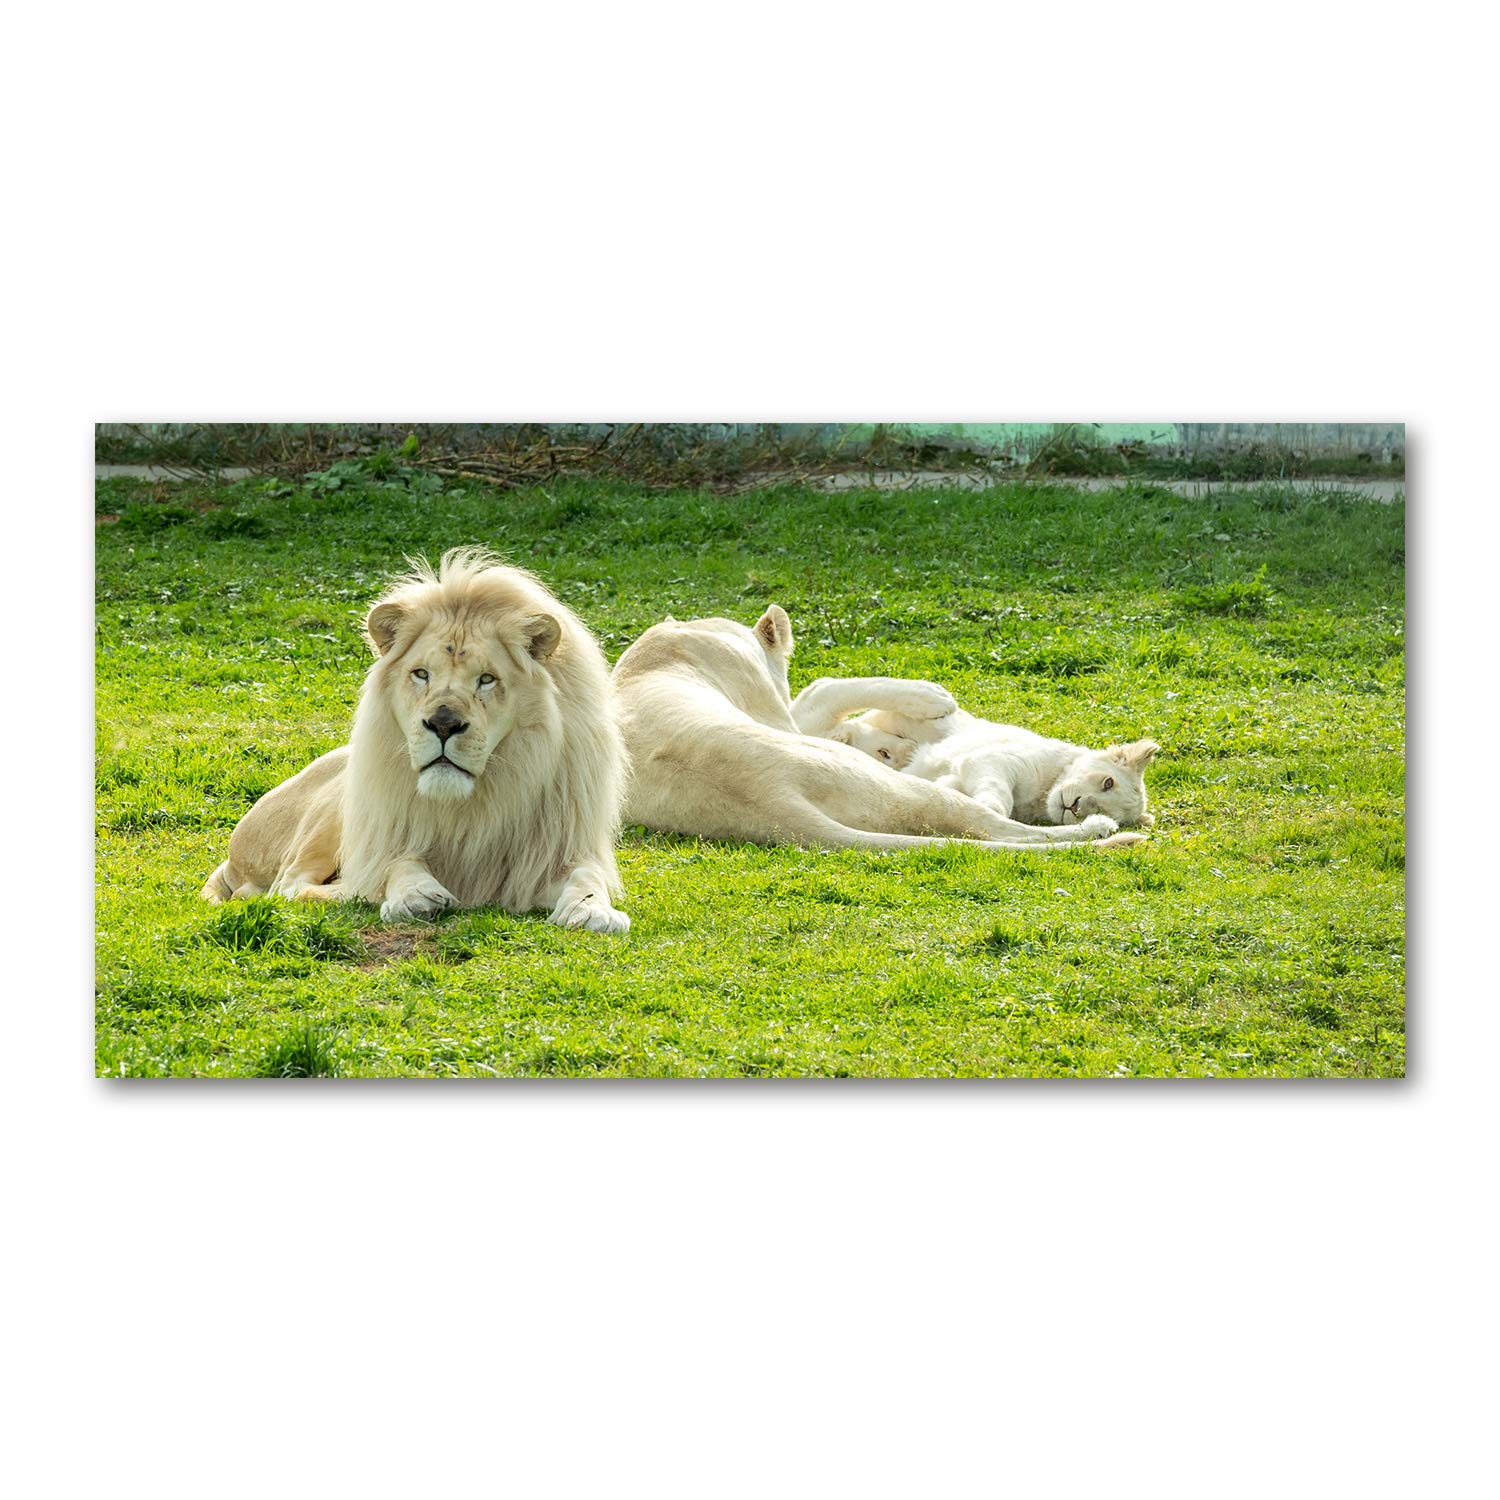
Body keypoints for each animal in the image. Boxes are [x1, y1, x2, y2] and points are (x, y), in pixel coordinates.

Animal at [200, 548, 630, 933]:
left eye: (486, 679)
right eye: (421, 674)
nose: (442, 724)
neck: (475, 803)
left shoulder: (554, 853)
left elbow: (587, 876)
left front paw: (592, 912)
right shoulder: (386, 832)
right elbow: (395, 863)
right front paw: (415, 895)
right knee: (289, 884)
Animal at [610, 604, 1145, 853]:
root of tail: (777, 808)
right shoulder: (784, 713)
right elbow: (827, 685)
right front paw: (934, 698)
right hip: (898, 788)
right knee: (995, 827)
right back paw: (1099, 827)